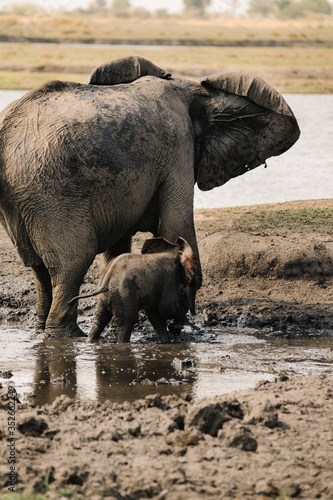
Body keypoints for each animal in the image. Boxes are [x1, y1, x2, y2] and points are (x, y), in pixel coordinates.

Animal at [0, 54, 300, 338]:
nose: (189, 316)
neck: (191, 89)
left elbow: (119, 248)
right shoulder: (179, 145)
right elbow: (176, 225)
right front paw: (178, 324)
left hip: (26, 199)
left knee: (39, 269)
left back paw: (42, 330)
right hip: (52, 193)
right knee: (72, 263)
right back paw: (67, 335)